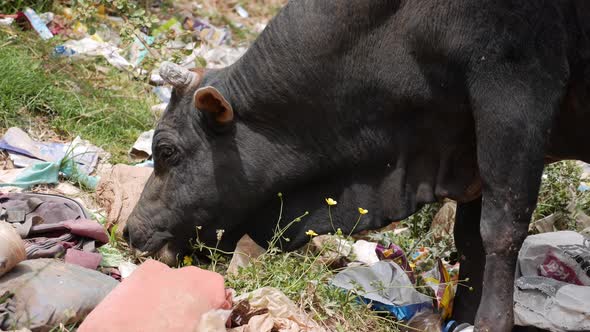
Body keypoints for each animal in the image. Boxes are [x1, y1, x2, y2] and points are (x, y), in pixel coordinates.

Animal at [125, 1, 590, 330]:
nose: (130, 231)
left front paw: (490, 323)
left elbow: (501, 230)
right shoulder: (467, 146)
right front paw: (463, 318)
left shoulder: (515, 89)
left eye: (167, 151)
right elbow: (470, 239)